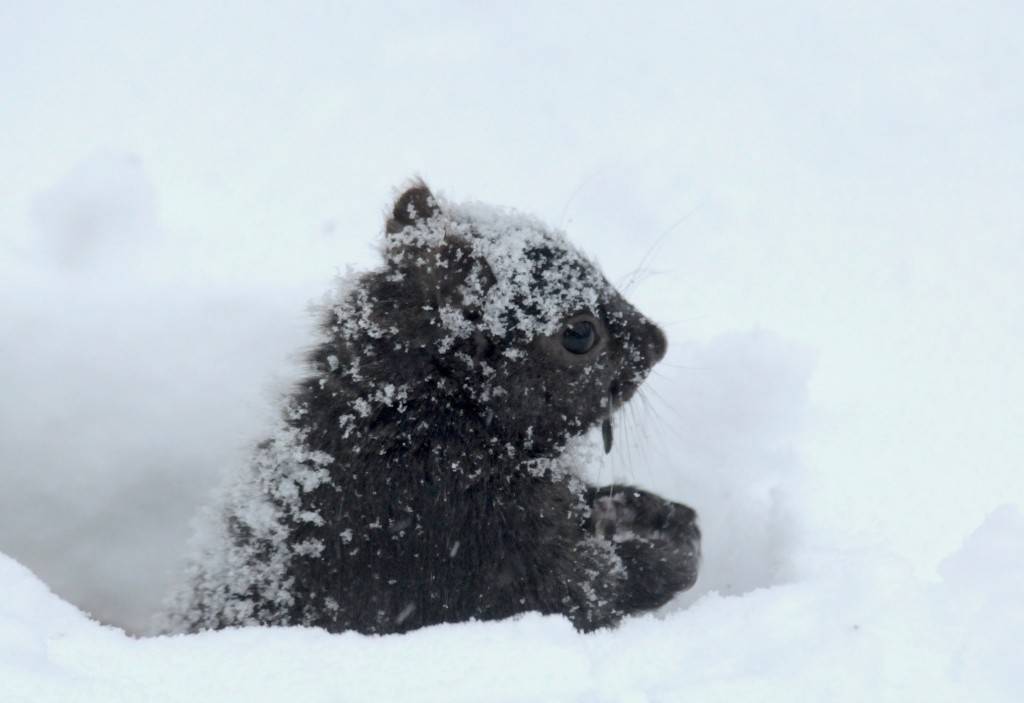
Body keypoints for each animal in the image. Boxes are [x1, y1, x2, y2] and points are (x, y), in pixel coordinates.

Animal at [163, 184, 700, 634]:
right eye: (579, 333)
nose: (659, 343)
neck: (434, 416)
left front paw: (644, 508)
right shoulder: (465, 530)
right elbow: (575, 595)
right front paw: (670, 552)